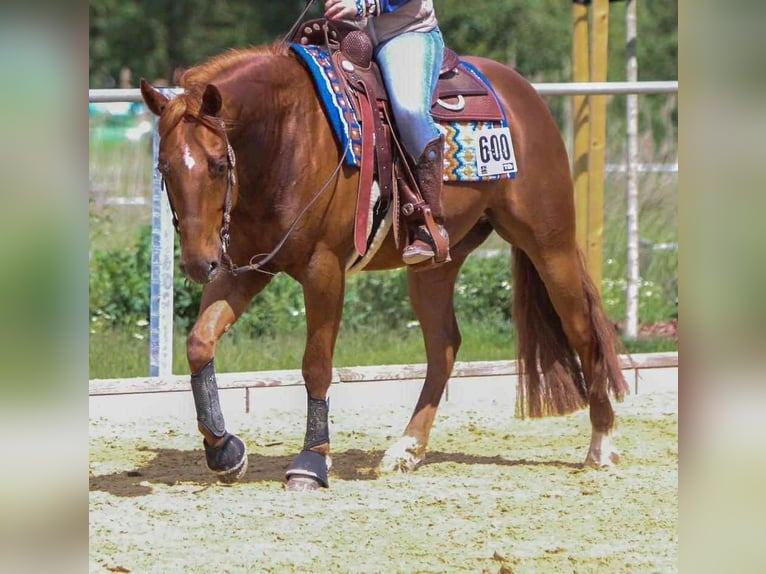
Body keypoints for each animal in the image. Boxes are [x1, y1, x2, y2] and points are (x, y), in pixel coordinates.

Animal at [140, 39, 628, 490]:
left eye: (218, 165)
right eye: (164, 168)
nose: (197, 264)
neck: (289, 136)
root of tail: (523, 93)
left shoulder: (323, 270)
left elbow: (316, 365)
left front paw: (311, 462)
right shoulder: (245, 267)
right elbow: (199, 342)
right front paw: (224, 451)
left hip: (549, 243)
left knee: (583, 330)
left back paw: (602, 446)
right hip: (436, 265)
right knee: (444, 346)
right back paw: (406, 449)